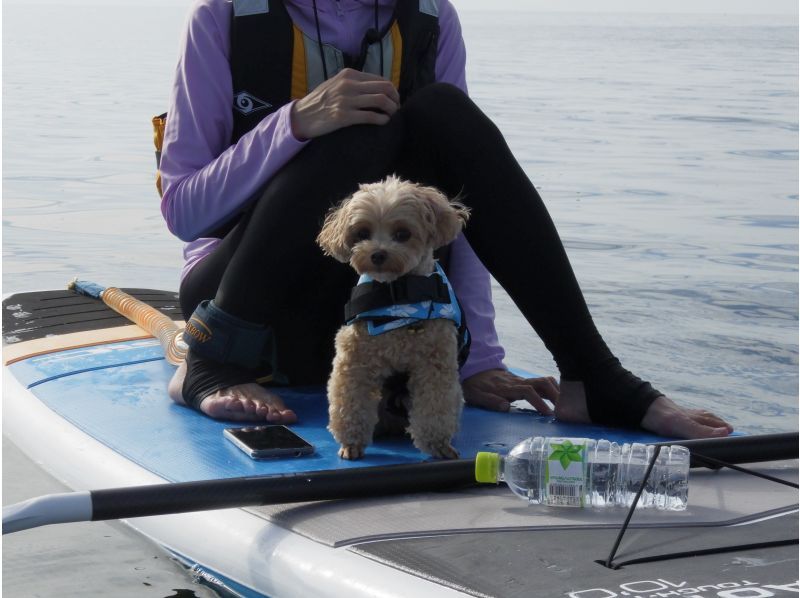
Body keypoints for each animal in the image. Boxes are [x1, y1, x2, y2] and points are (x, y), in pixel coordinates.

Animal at [318, 176, 468, 462]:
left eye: (403, 234)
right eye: (362, 233)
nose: (377, 254)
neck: (397, 295)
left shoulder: (436, 361)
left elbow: (435, 405)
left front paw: (438, 444)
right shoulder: (355, 357)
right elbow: (350, 401)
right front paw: (351, 442)